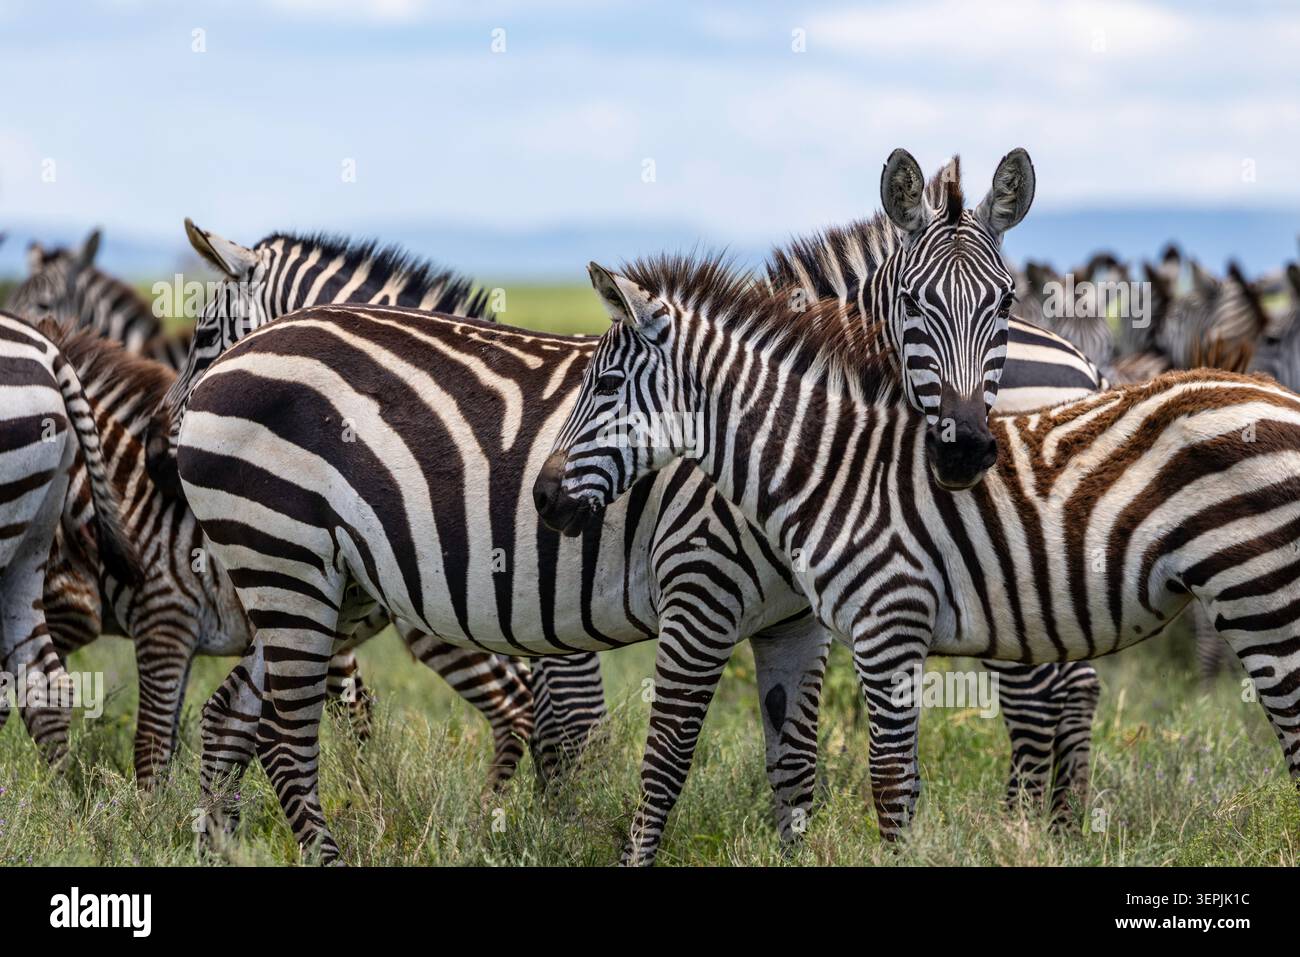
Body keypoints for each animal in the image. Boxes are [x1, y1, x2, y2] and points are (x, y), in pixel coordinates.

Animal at [173, 149, 1102, 863]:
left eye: (1002, 300)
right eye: (913, 305)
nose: (967, 450)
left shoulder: (781, 616)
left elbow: (784, 766)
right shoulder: (675, 592)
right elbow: (611, 741)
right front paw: (554, 825)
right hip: (292, 564)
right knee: (265, 726)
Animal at [536, 252, 1300, 843]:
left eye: (605, 384)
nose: (542, 498)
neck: (831, 466)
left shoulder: (888, 628)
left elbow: (890, 787)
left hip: (1263, 596)